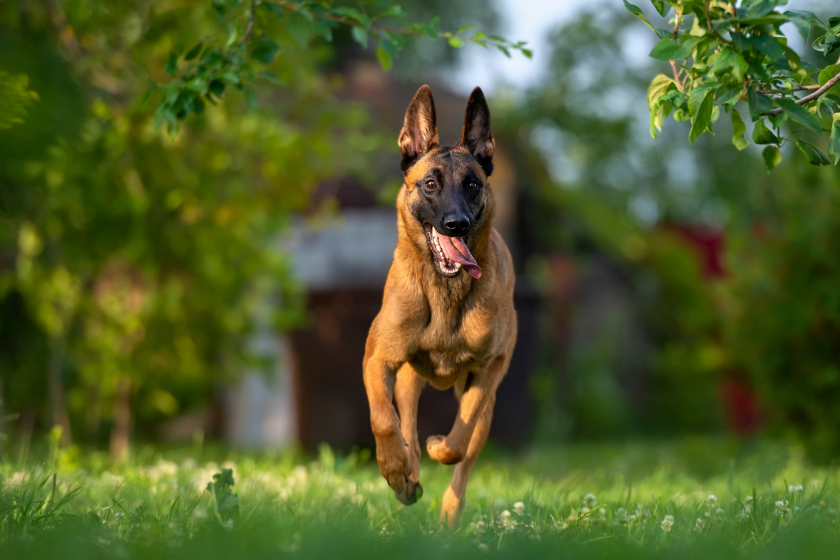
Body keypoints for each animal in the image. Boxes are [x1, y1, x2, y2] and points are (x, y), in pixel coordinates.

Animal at [362, 84, 516, 528]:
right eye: (430, 183)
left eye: (473, 184)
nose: (456, 224)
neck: (445, 294)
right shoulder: (377, 360)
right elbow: (384, 420)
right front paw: (394, 469)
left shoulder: (490, 369)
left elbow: (457, 443)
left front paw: (437, 448)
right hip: (408, 381)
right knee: (406, 427)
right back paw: (406, 476)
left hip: (486, 403)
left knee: (465, 454)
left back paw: (448, 509)